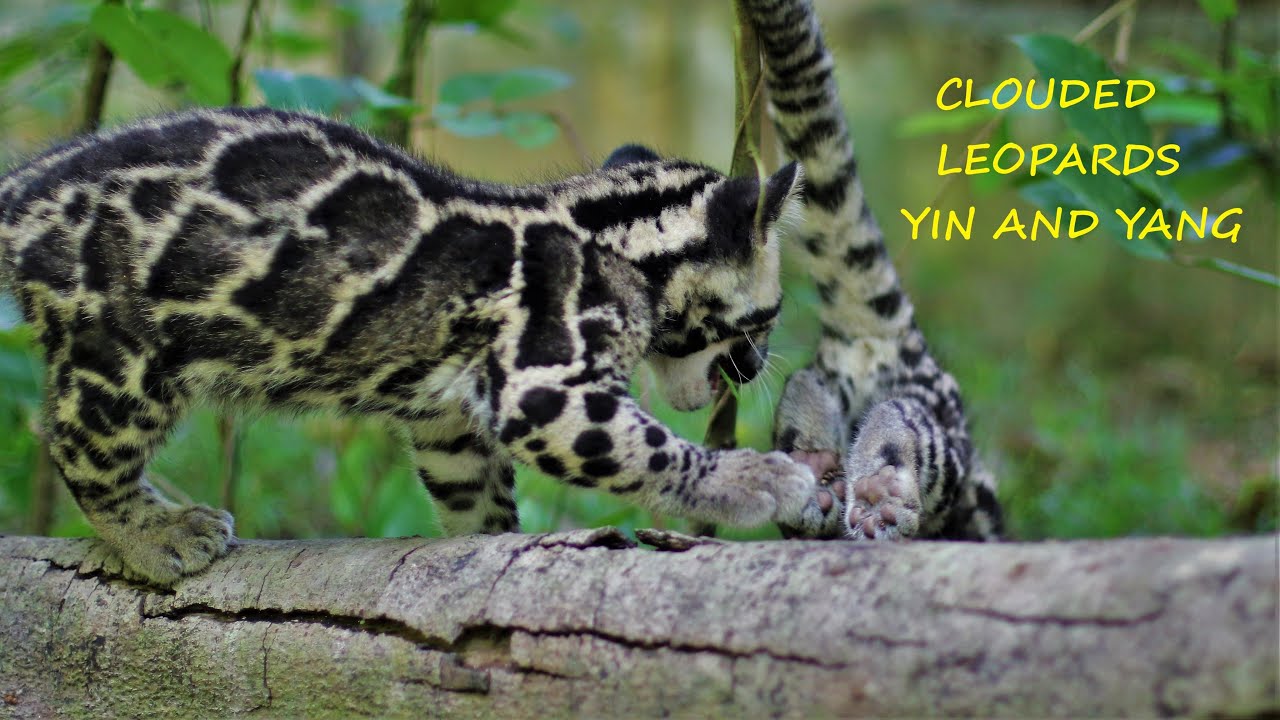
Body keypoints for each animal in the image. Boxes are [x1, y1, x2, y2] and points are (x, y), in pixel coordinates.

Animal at [0, 106, 828, 585]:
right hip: (124, 359)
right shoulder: (544, 386)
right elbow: (648, 448)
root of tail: (24, 187)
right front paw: (751, 479)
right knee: (80, 450)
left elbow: (473, 489)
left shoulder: (447, 417)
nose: (757, 364)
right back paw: (155, 535)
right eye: (768, 316)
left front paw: (493, 545)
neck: (606, 233)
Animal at [742, 0, 1004, 541]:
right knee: (904, 428)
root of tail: (886, 343)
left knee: (812, 393)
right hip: (944, 446)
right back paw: (881, 495)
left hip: (834, 386)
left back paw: (820, 467)